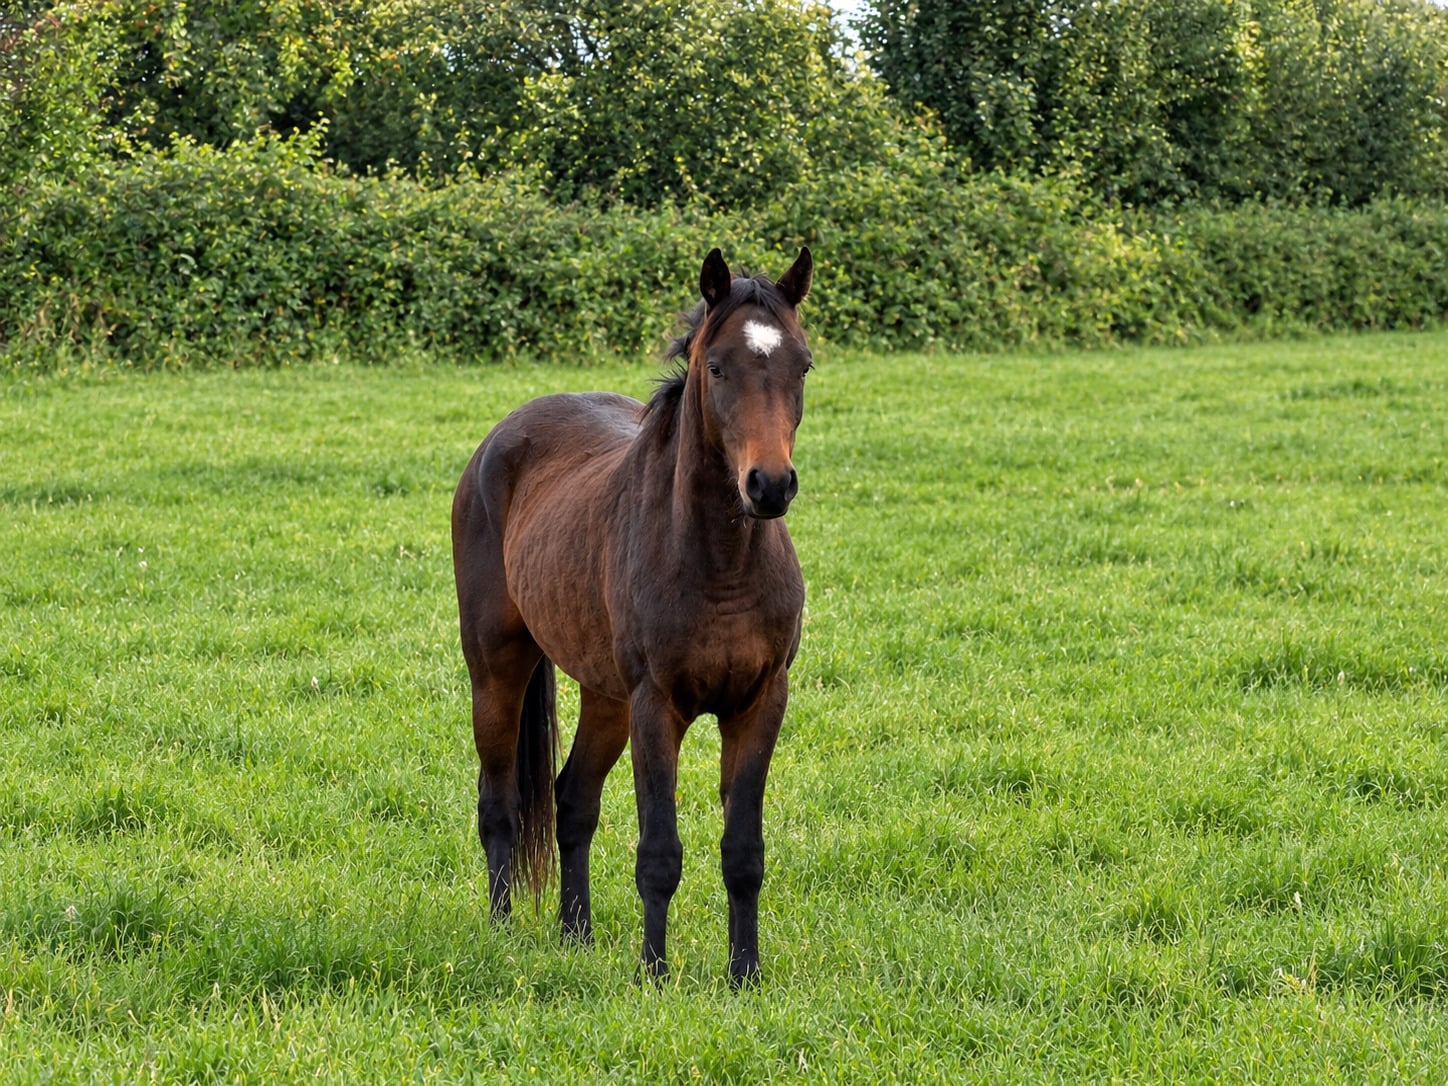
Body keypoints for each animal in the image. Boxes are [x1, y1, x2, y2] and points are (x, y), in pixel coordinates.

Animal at [451, 246, 814, 984]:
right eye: (717, 366)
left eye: (802, 365)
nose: (769, 486)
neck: (718, 564)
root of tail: (498, 441)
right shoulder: (657, 705)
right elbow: (659, 852)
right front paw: (654, 974)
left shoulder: (761, 702)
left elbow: (744, 852)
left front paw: (744, 975)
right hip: (498, 669)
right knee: (499, 804)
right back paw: (503, 932)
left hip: (604, 694)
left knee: (571, 801)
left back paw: (576, 934)